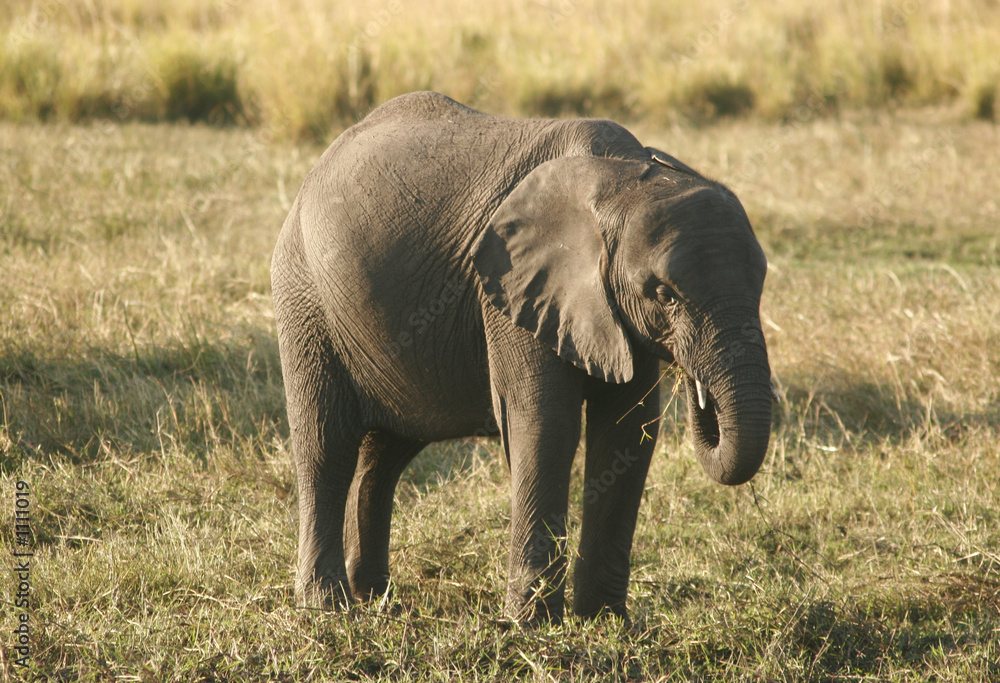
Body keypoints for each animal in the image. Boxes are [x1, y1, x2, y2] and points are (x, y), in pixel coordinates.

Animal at [271, 91, 772, 624]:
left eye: (761, 285)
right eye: (664, 294)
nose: (699, 390)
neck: (620, 178)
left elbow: (628, 433)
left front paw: (605, 621)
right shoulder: (509, 290)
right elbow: (547, 424)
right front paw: (530, 625)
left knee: (385, 453)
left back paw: (378, 598)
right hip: (304, 295)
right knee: (325, 442)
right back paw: (328, 606)